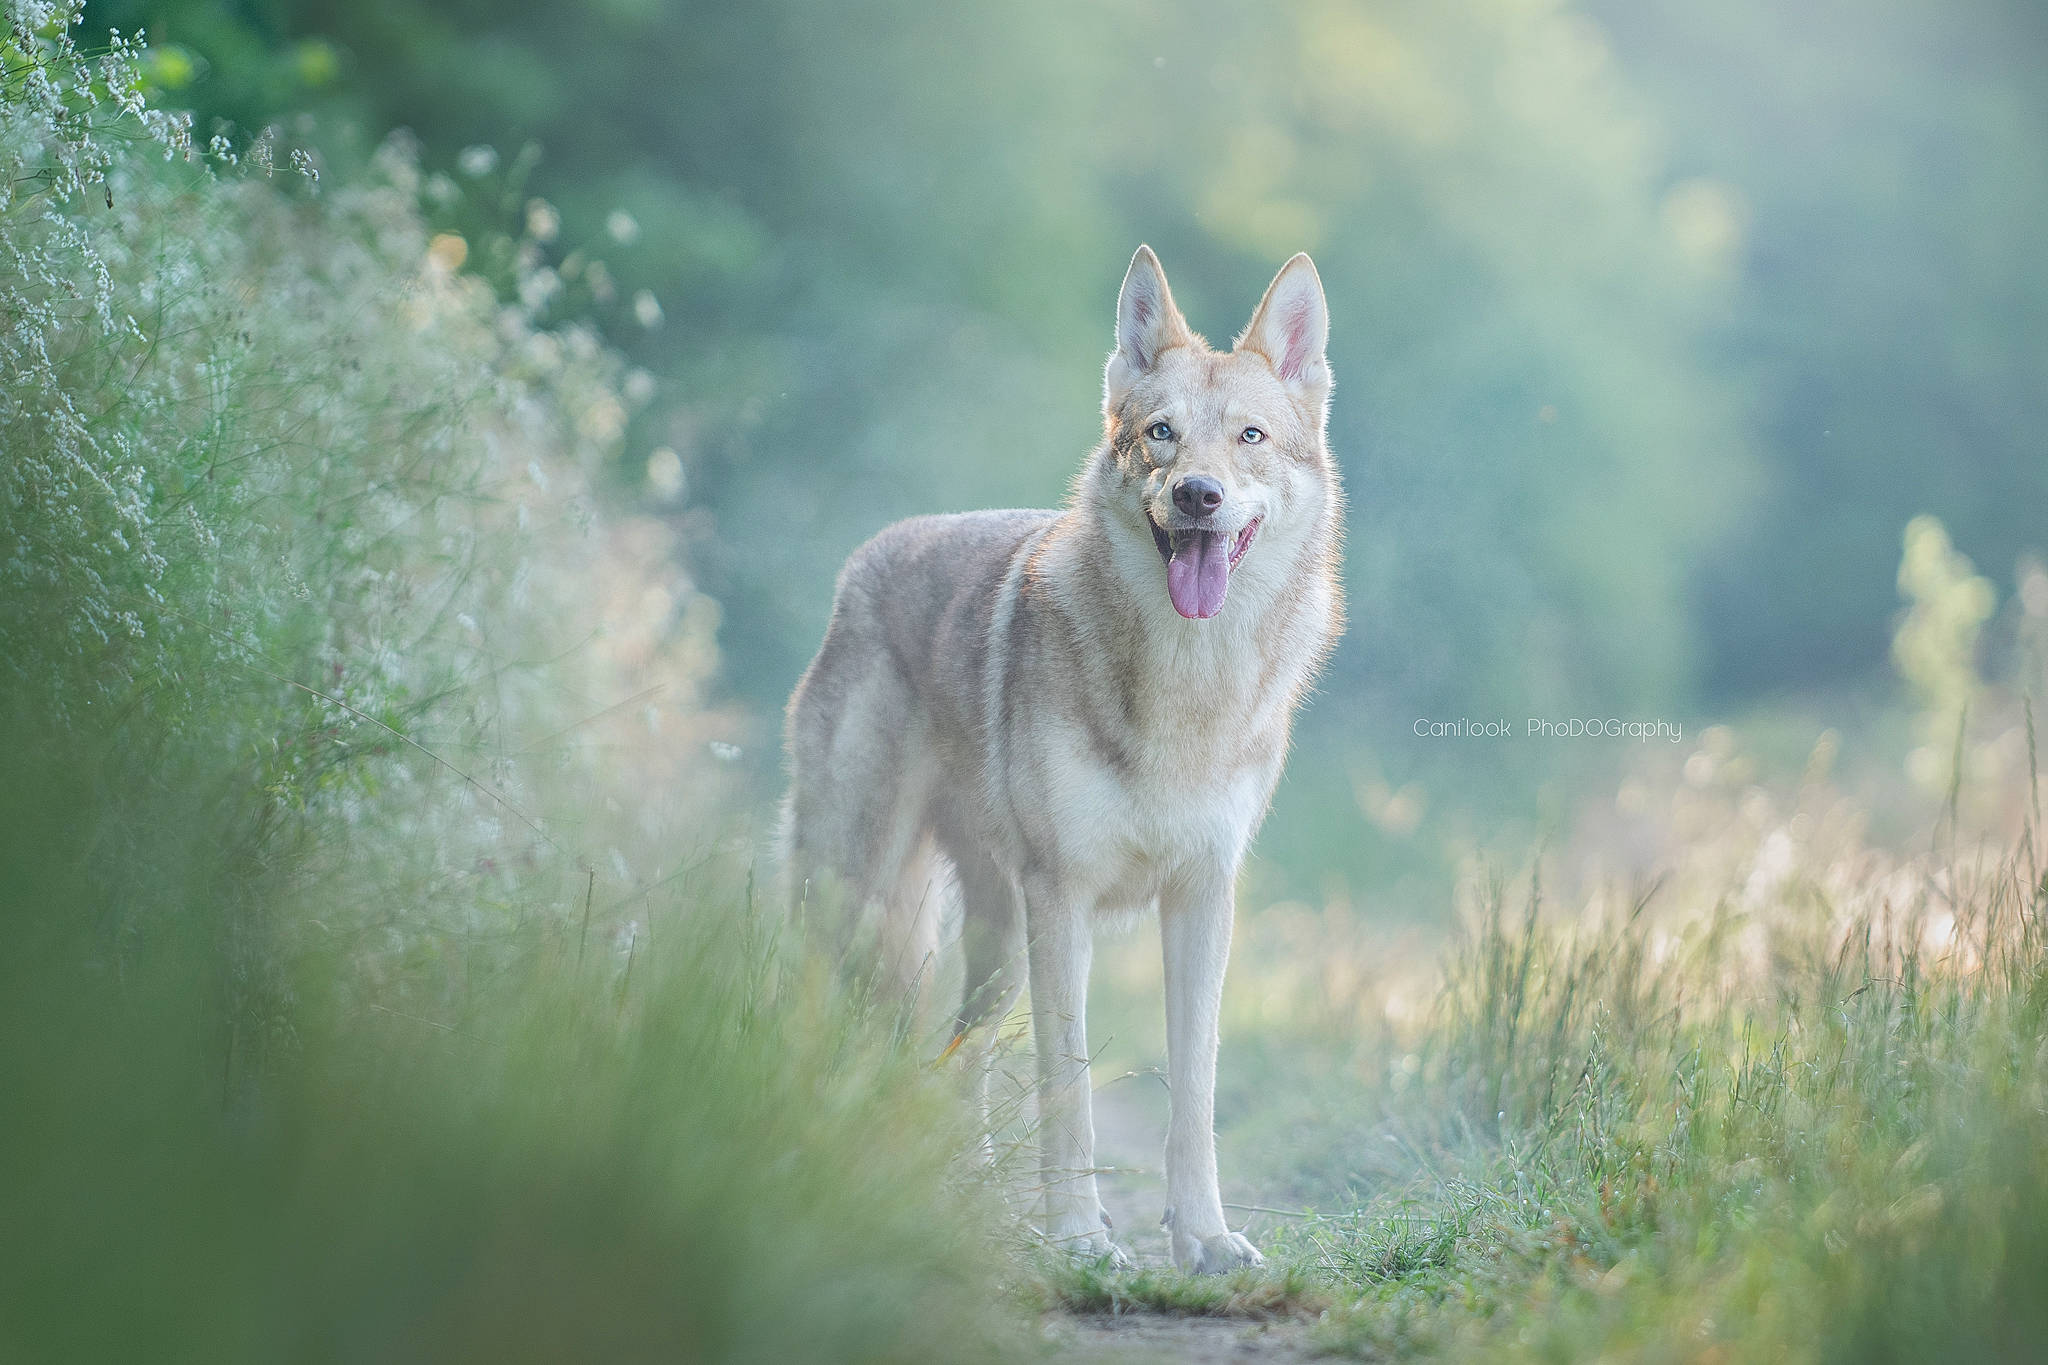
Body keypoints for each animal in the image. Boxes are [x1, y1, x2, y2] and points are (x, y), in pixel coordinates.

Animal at [784, 246, 1343, 1271]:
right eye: (1161, 435)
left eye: (1248, 437)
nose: (1197, 495)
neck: (1184, 689)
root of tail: (866, 559)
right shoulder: (1064, 900)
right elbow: (1070, 1084)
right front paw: (1082, 1237)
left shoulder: (1203, 899)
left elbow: (1194, 1089)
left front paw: (1205, 1238)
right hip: (861, 892)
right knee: (812, 1004)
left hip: (994, 943)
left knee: (957, 1062)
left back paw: (971, 1205)